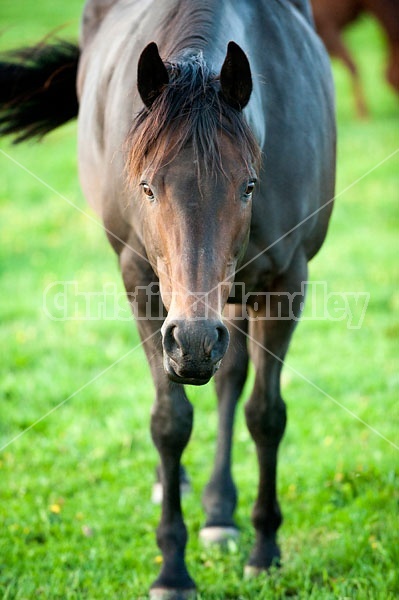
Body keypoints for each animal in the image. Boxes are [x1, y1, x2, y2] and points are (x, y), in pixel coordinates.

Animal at [0, 0, 338, 596]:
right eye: (147, 187)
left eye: (249, 186)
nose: (194, 344)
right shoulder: (141, 281)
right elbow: (170, 419)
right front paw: (172, 569)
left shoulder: (286, 282)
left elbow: (265, 414)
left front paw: (265, 548)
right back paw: (175, 483)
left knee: (230, 379)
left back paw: (220, 511)